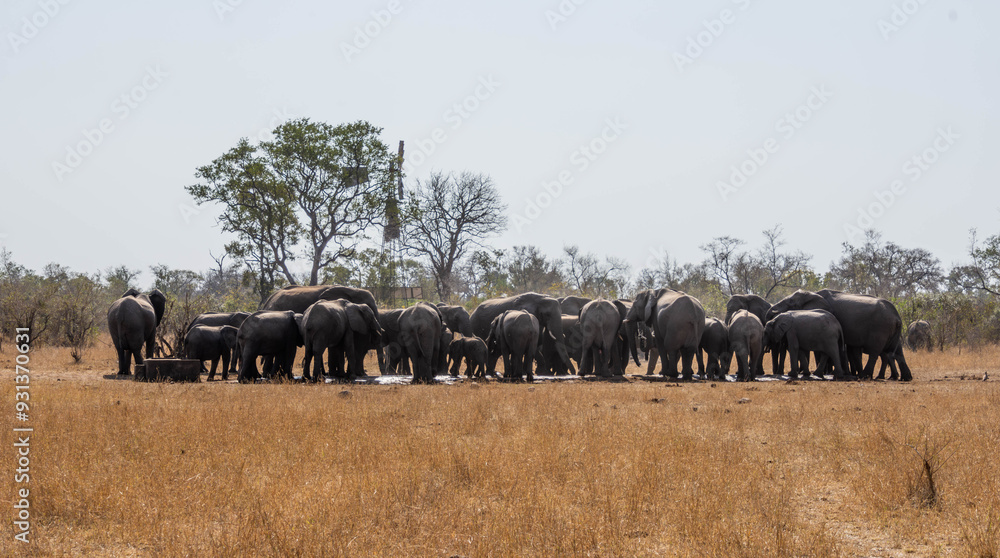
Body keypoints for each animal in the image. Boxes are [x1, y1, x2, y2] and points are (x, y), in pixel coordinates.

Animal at [766, 289, 911, 381]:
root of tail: (897, 317)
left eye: (791, 303)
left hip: (880, 328)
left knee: (875, 352)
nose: (772, 311)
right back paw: (904, 378)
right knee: (897, 351)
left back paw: (865, 376)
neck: (813, 294)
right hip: (893, 331)